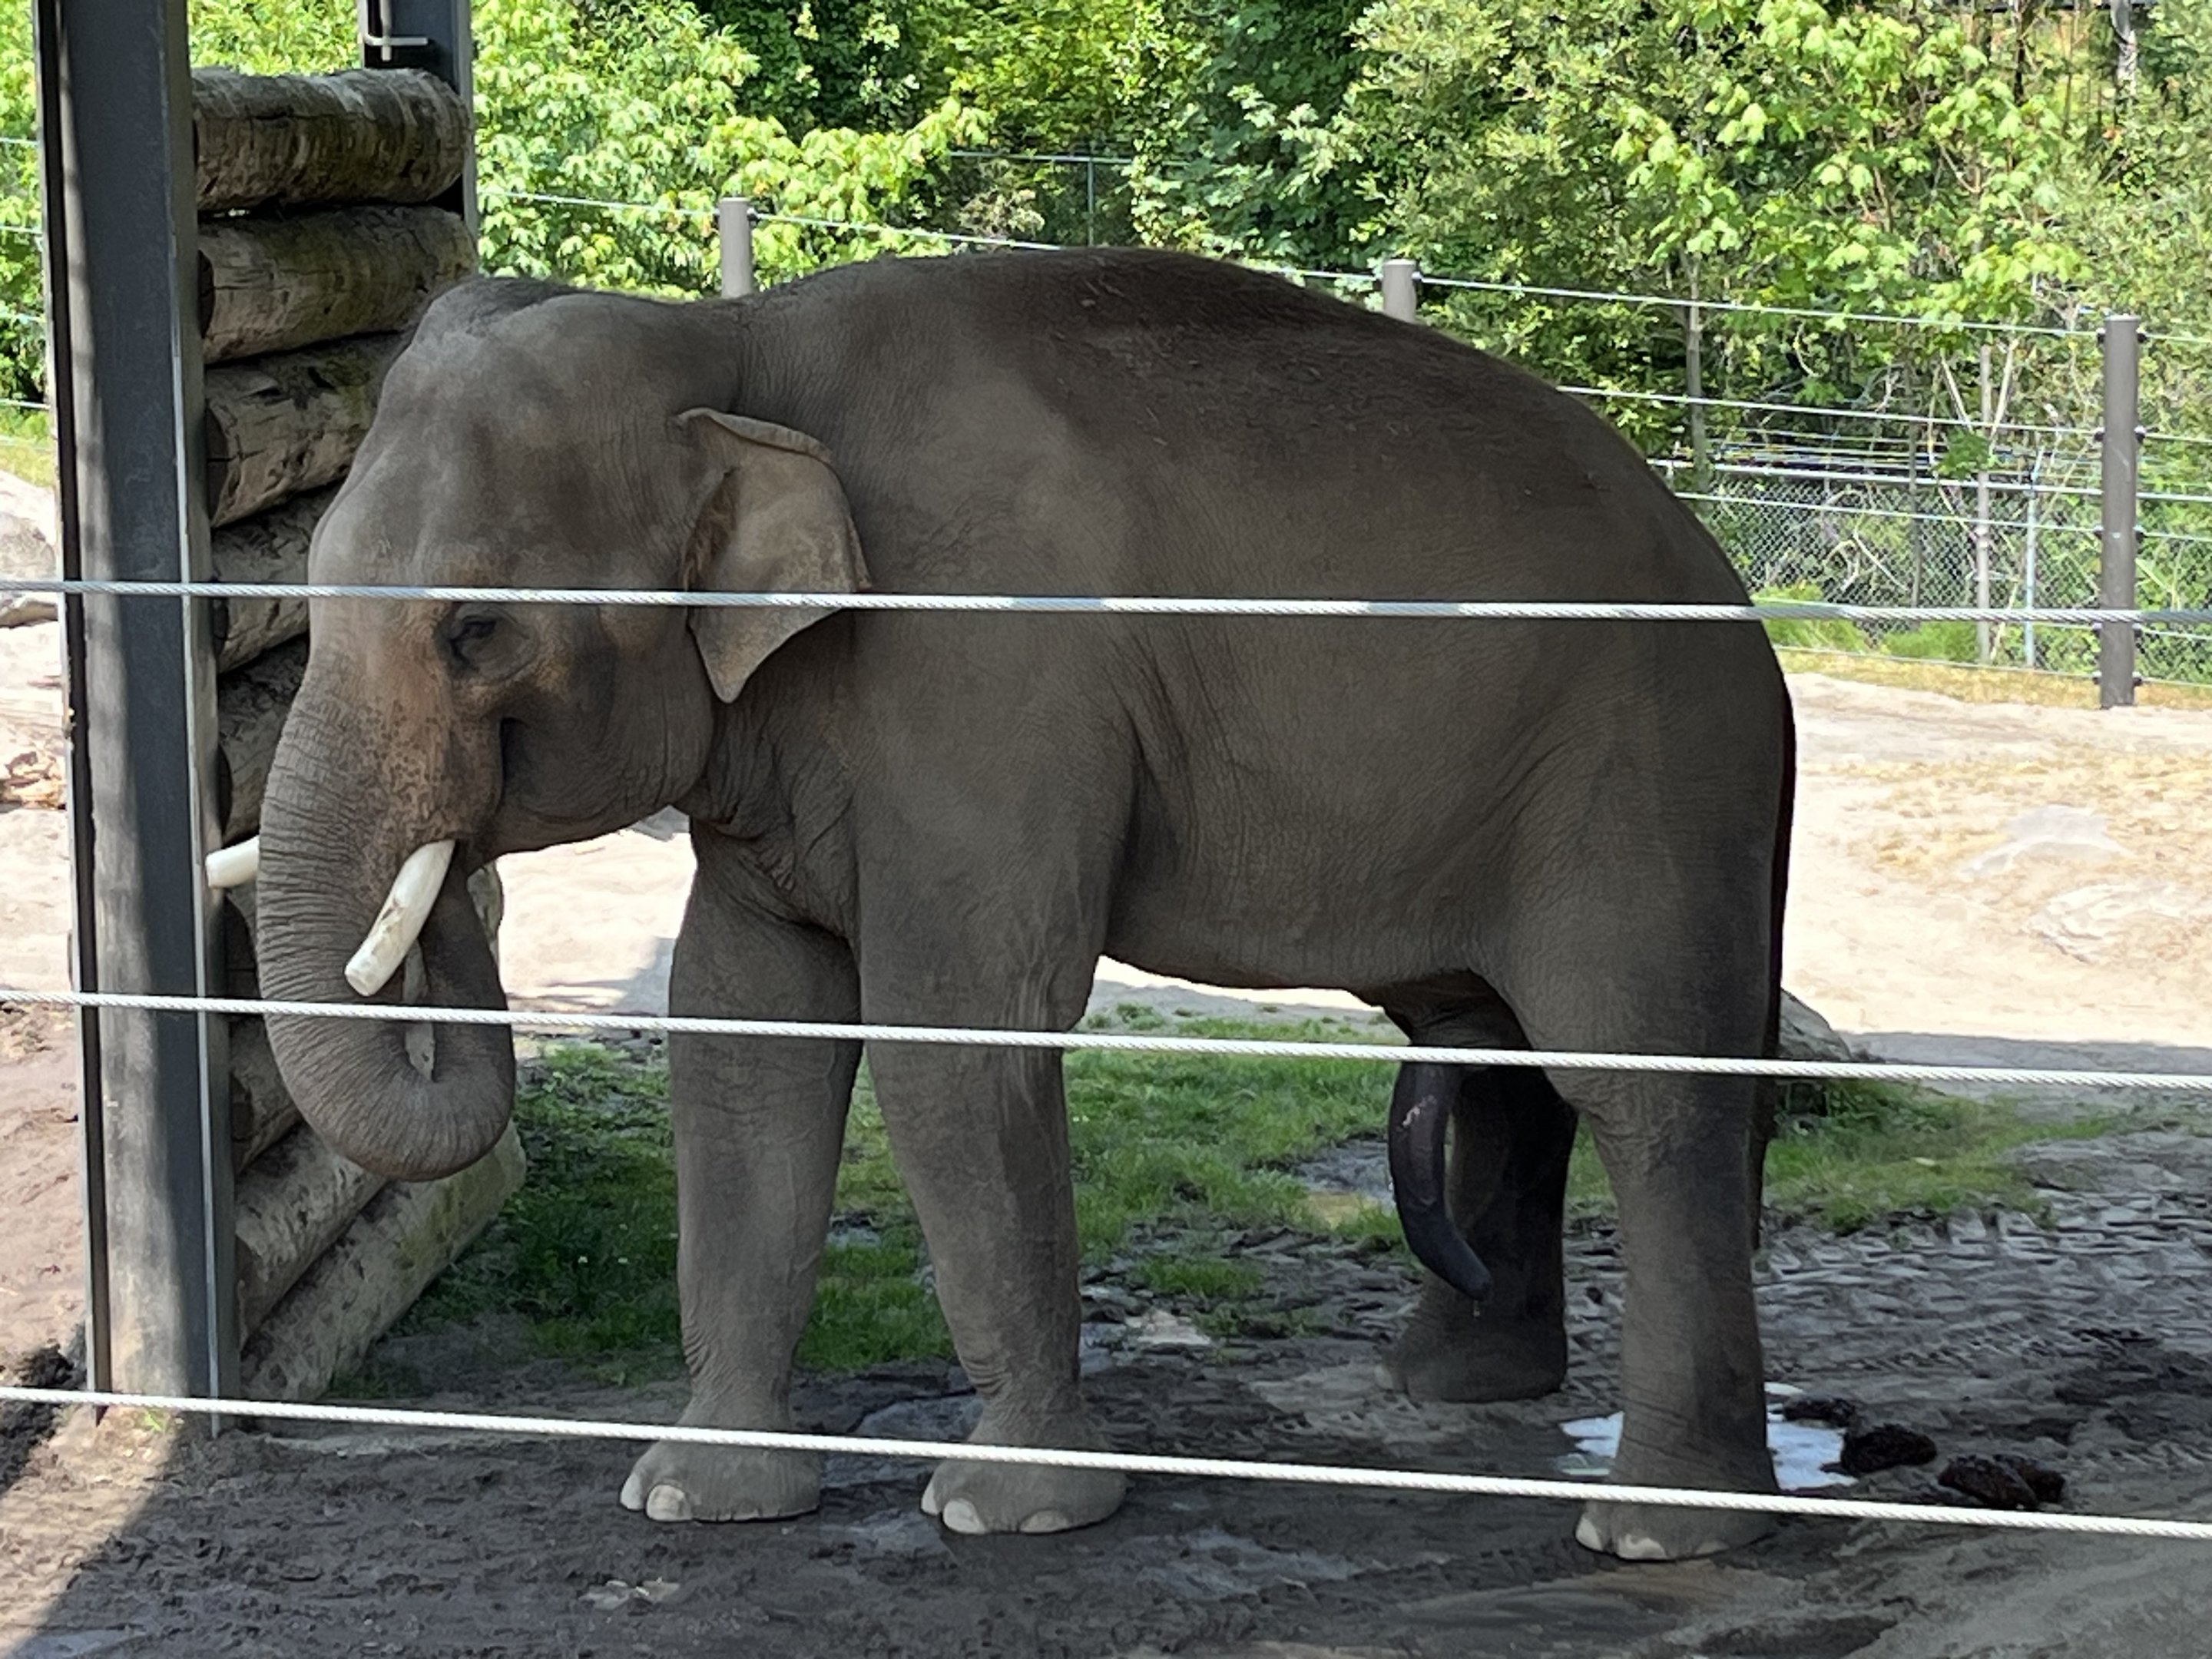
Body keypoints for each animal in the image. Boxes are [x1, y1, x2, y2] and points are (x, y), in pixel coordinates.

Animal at [248, 247, 1795, 1562]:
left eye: (477, 633)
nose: (447, 878)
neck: (733, 341)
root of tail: (1737, 594)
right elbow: (742, 1031)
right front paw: (693, 1496)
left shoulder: (989, 674)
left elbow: (956, 1025)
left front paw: (1009, 1509)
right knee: (1506, 1047)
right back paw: (1453, 1385)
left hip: (1650, 774)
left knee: (1641, 1079)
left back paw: (1660, 1527)